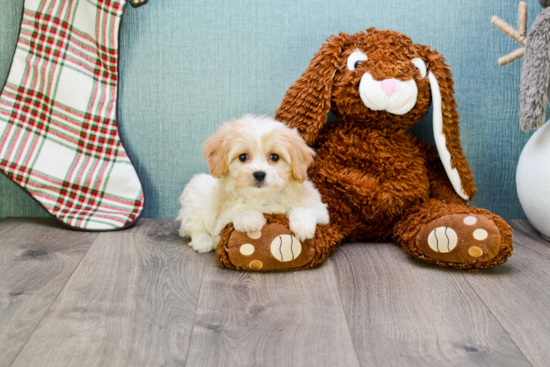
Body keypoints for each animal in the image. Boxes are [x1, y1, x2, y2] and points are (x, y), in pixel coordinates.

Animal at [179, 114, 330, 253]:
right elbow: (236, 207)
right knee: (192, 224)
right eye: (243, 157)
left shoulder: (321, 210)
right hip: (195, 192)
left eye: (274, 157)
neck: (263, 197)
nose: (259, 174)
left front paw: (303, 225)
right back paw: (202, 241)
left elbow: (306, 208)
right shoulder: (219, 222)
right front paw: (249, 217)